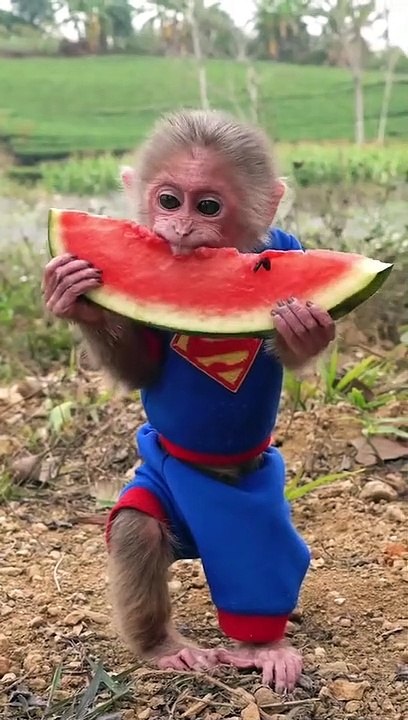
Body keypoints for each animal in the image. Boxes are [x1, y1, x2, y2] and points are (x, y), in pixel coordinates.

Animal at [42, 109, 335, 693]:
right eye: (168, 200)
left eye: (208, 207)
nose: (177, 230)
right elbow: (141, 367)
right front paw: (75, 298)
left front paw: (304, 326)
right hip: (154, 487)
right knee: (136, 530)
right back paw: (165, 648)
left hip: (257, 516)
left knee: (259, 562)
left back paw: (265, 647)